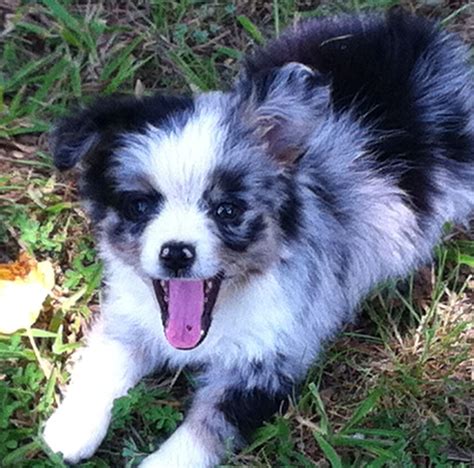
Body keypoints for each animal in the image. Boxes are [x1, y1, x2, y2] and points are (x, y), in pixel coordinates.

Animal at [42, 9, 472, 466]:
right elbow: (106, 359)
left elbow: (206, 428)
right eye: (139, 206)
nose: (176, 253)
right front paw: (73, 426)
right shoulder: (133, 315)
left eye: (227, 210)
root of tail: (415, 33)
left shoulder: (270, 360)